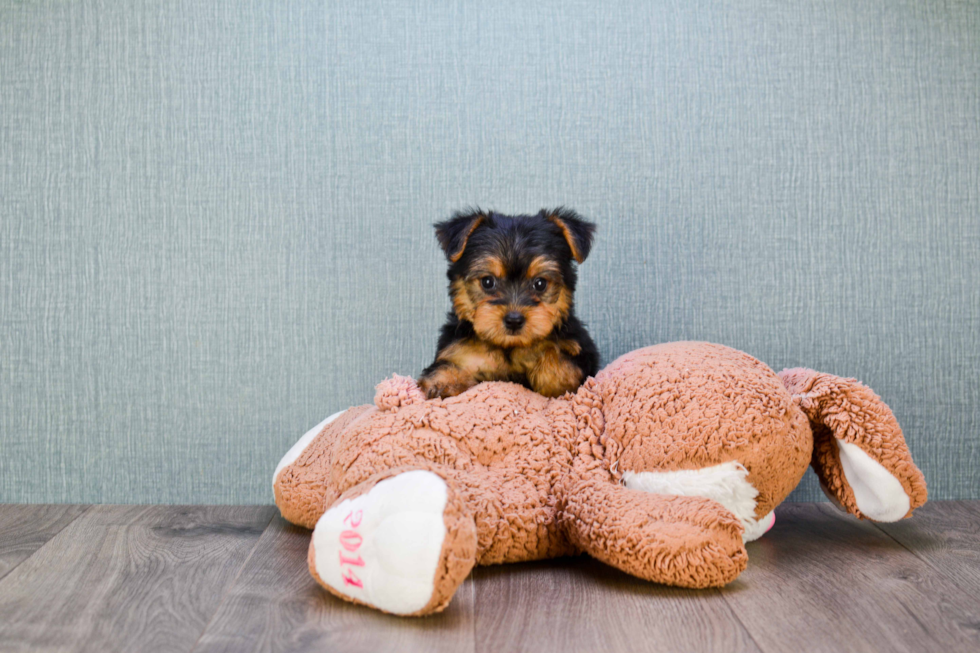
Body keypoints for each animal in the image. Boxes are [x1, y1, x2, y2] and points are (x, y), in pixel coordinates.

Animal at [420, 209, 600, 400]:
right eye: (487, 282)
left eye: (540, 283)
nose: (514, 320)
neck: (509, 347)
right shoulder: (460, 352)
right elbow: (443, 367)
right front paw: (443, 384)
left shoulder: (582, 355)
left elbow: (560, 360)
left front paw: (549, 372)